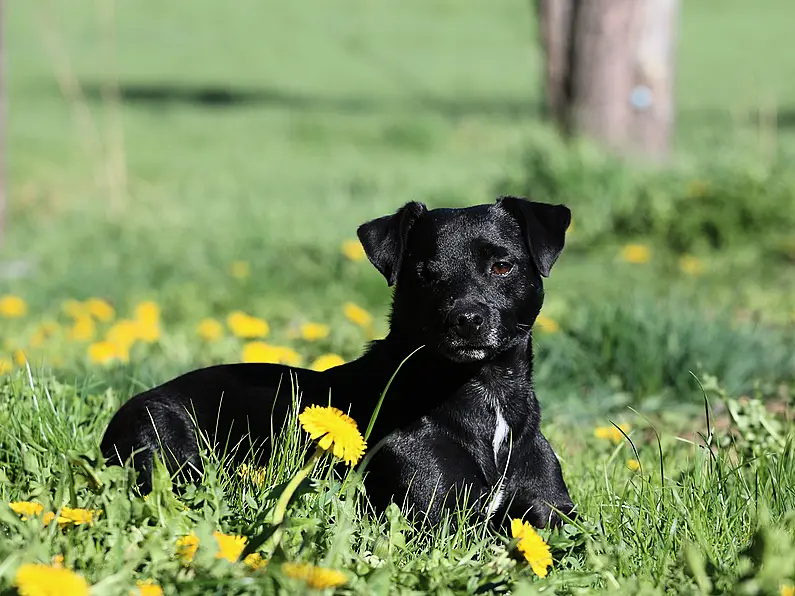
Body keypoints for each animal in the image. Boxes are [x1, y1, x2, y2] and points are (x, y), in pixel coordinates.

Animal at [104, 196, 580, 528]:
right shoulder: (441, 516)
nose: (465, 320)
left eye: (502, 266)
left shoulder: (553, 516)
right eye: (423, 274)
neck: (485, 395)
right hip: (167, 447)